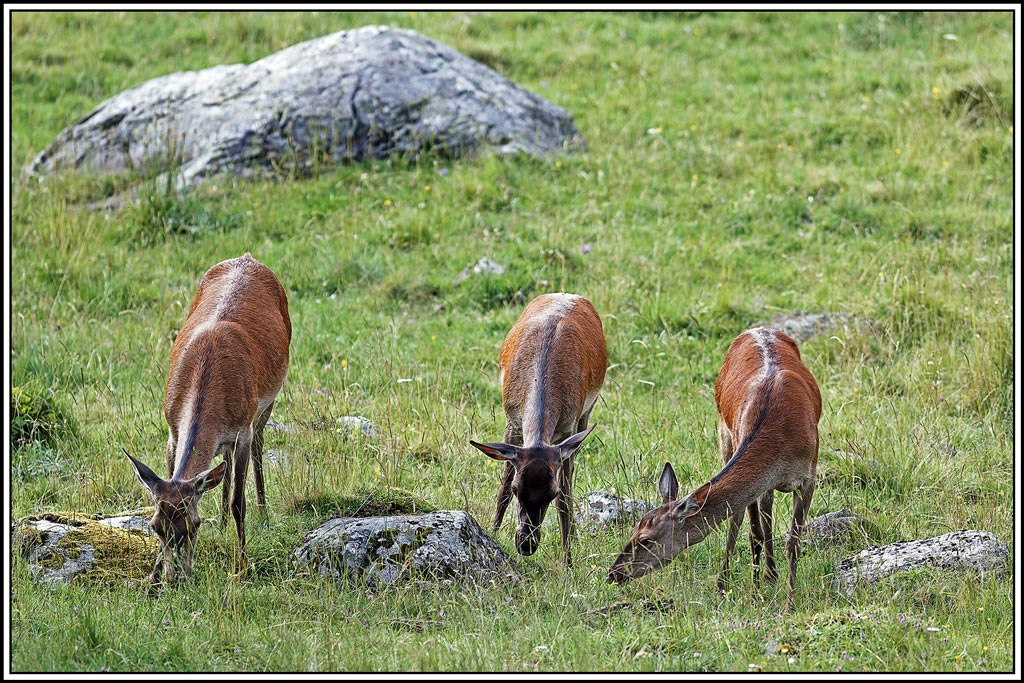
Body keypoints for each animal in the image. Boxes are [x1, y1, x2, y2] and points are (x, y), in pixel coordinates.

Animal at [125, 253, 291, 584]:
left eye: (195, 524)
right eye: (155, 527)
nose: (176, 577)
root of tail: (248, 256)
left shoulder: (243, 430)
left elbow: (239, 502)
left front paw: (242, 566)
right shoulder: (172, 431)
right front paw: (152, 574)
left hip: (267, 402)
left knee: (259, 447)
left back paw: (263, 514)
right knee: (222, 465)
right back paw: (224, 524)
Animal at [469, 293, 607, 567]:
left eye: (550, 494)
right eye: (517, 490)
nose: (526, 545)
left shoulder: (568, 430)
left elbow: (566, 499)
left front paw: (569, 561)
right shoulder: (512, 422)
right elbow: (502, 487)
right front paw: (492, 534)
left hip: (586, 413)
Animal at [607, 326, 821, 612]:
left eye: (645, 539)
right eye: (632, 531)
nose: (613, 573)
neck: (781, 440)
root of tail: (758, 329)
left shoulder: (809, 474)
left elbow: (793, 544)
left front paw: (790, 605)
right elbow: (751, 530)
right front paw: (753, 593)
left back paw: (769, 575)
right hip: (724, 434)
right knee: (749, 519)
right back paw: (748, 579)